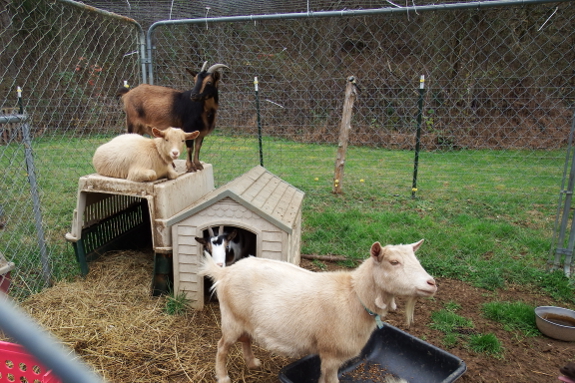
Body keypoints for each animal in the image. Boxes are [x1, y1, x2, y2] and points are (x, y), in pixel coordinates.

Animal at [201, 238, 436, 382]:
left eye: (416, 260)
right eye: (394, 262)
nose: (431, 283)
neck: (354, 296)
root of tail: (225, 273)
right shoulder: (332, 354)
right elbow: (330, 379)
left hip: (246, 319)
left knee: (246, 339)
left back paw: (252, 363)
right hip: (231, 318)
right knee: (222, 346)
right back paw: (223, 376)